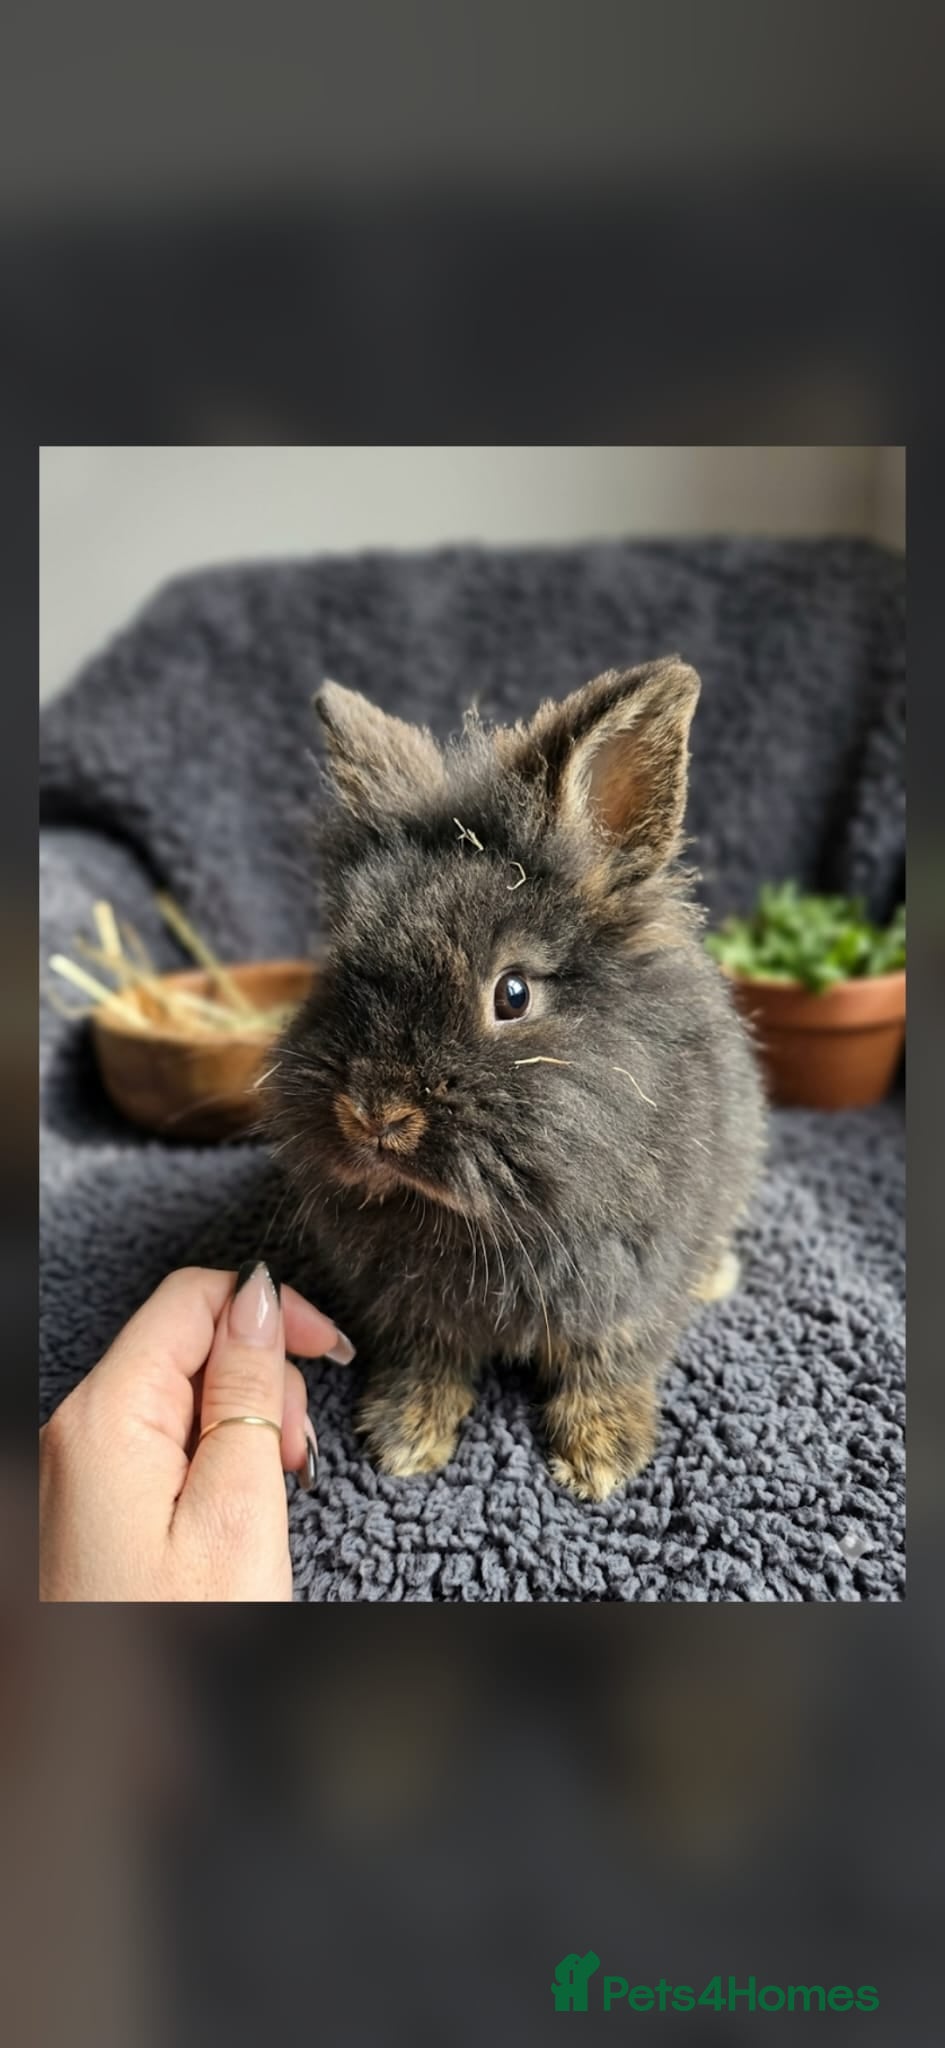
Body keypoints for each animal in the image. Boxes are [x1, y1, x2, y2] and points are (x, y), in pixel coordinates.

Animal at [264, 658, 765, 1502]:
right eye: (340, 967)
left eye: (513, 993)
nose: (374, 1116)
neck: (482, 1221)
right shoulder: (408, 1309)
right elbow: (425, 1358)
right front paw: (405, 1437)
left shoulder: (629, 1291)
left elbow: (609, 1361)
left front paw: (599, 1457)